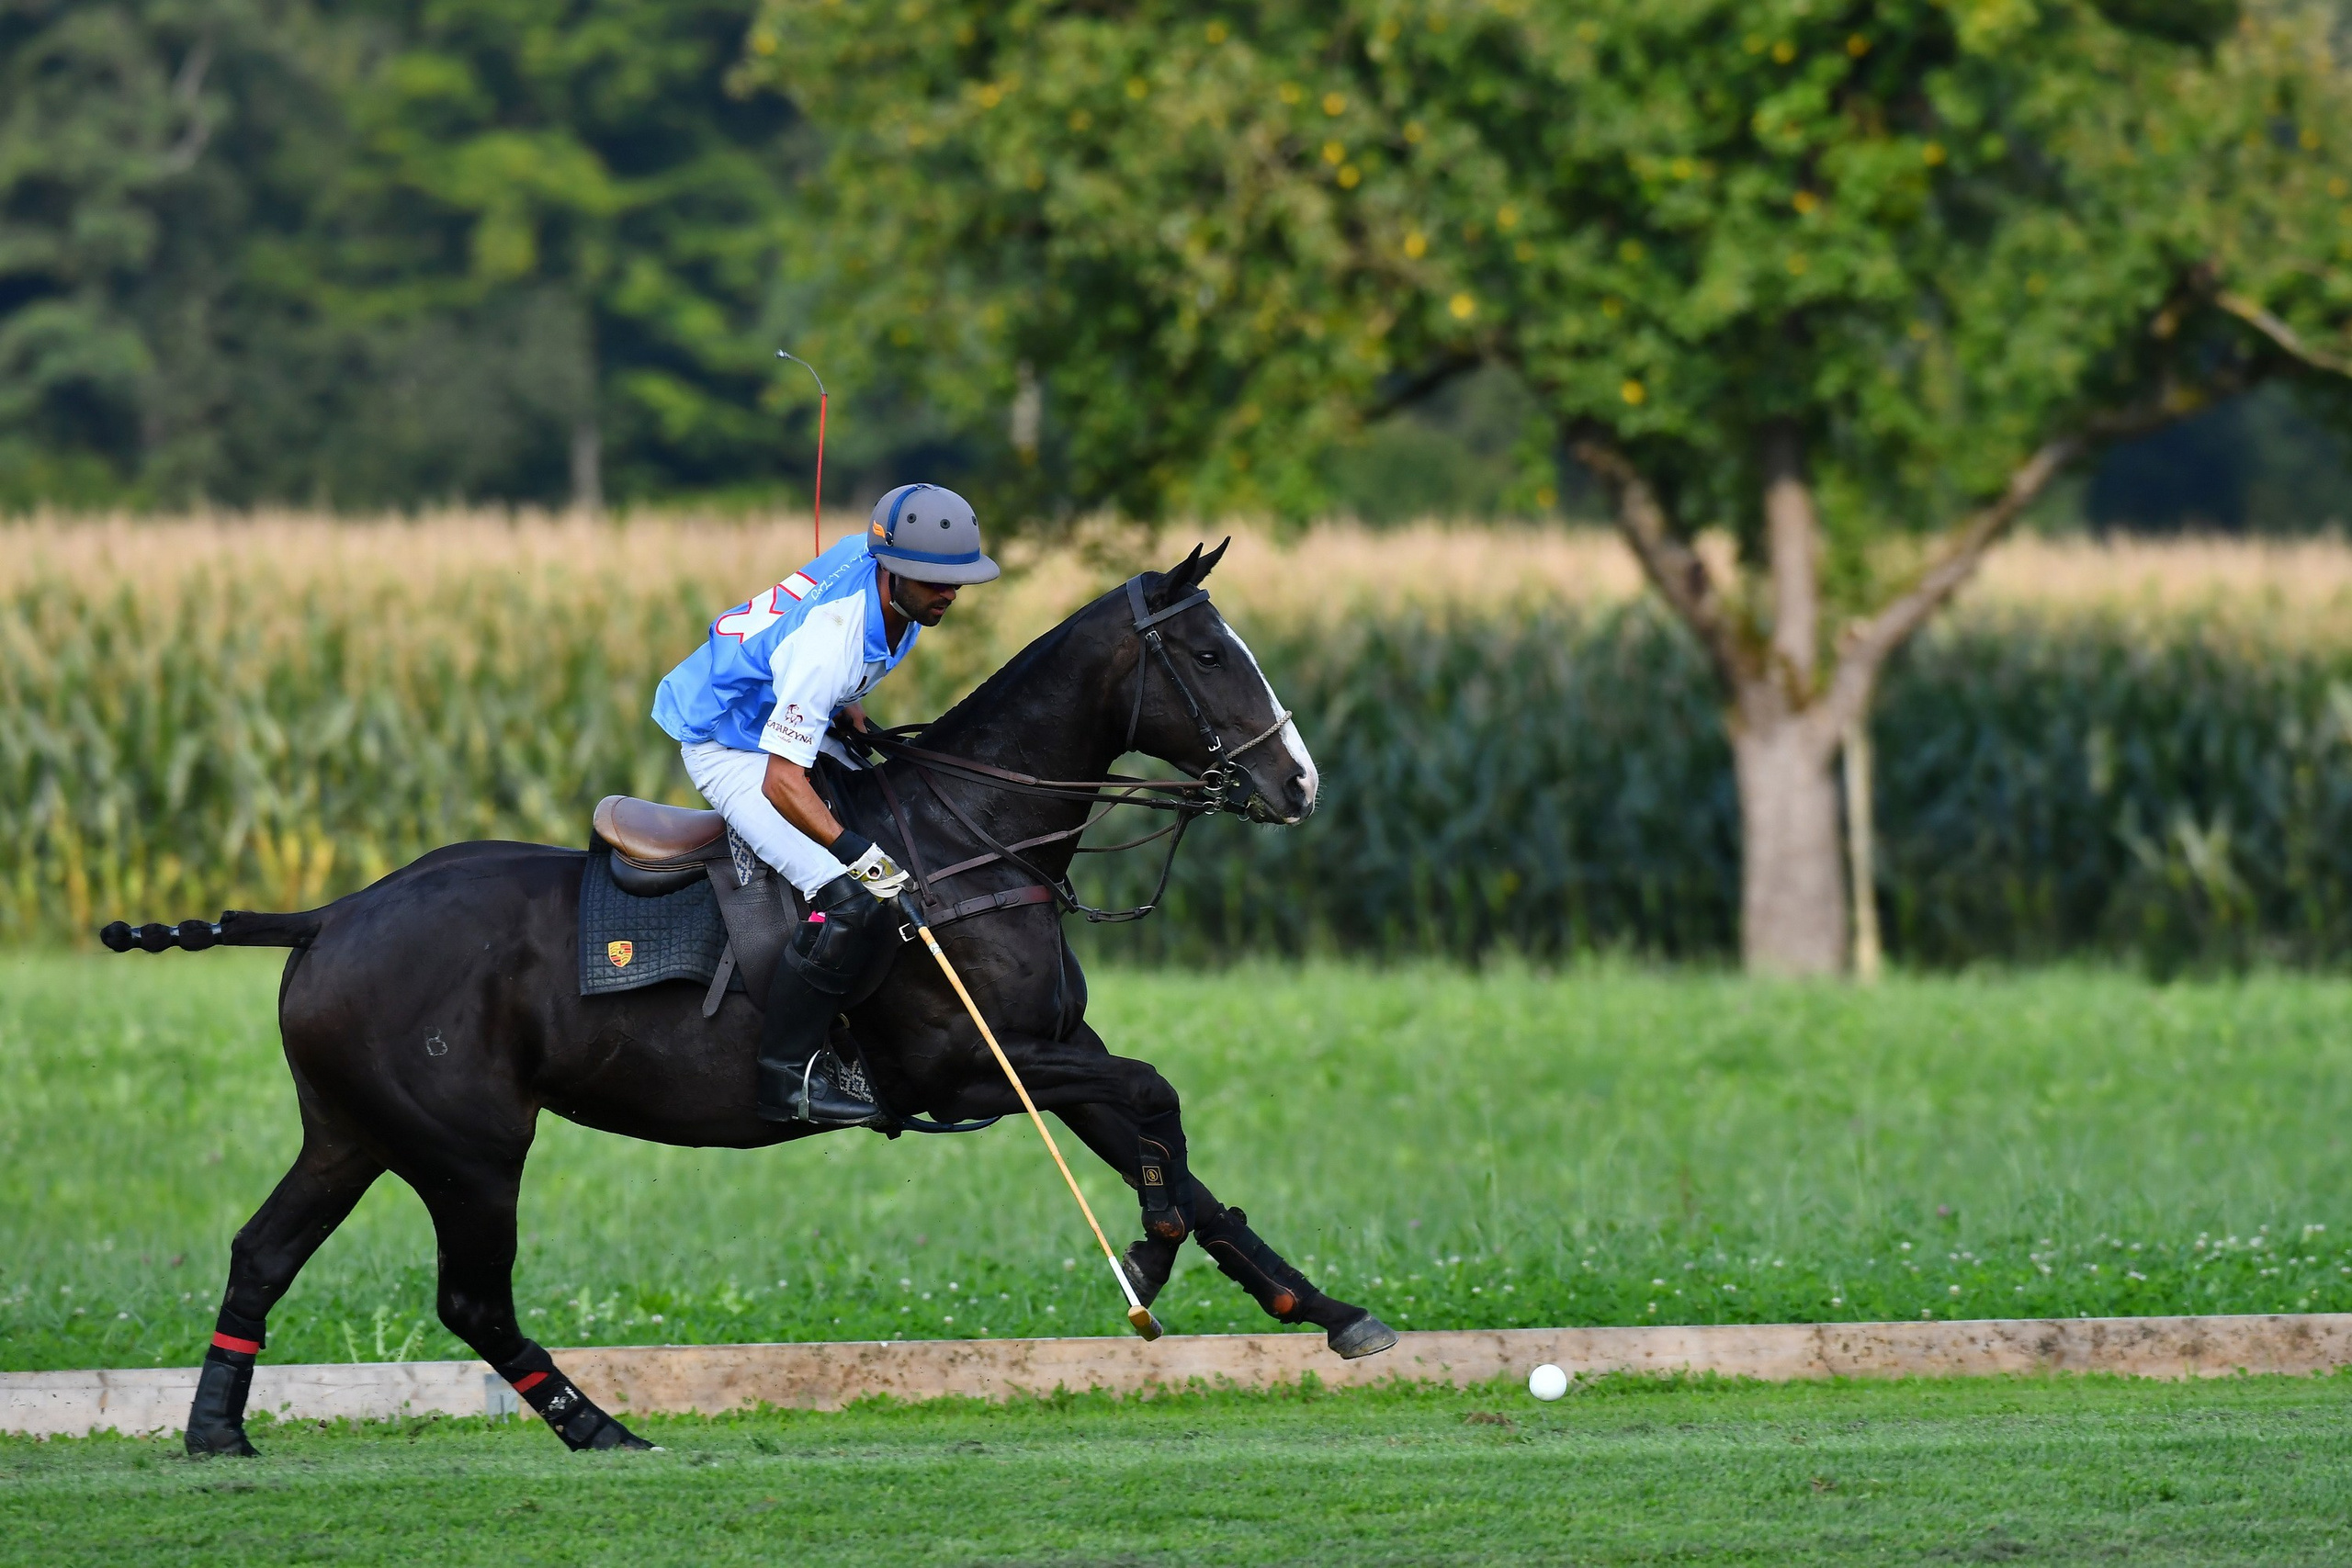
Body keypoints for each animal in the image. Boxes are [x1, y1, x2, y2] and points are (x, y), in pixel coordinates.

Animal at [103, 542, 1396, 1456]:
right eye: (1213, 656)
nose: (1299, 785)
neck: (973, 838)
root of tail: (330, 915)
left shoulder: (1047, 1049)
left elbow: (1180, 1159)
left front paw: (1322, 1307)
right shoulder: (966, 1067)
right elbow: (1159, 1104)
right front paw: (1149, 1262)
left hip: (355, 1130)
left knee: (262, 1253)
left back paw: (217, 1431)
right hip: (468, 1146)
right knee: (471, 1297)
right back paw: (600, 1427)